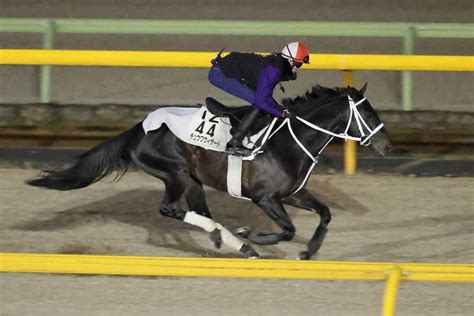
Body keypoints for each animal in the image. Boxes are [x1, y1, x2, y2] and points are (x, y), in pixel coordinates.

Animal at [25, 83, 390, 260]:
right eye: (369, 114)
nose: (388, 147)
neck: (288, 140)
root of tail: (138, 130)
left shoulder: (293, 193)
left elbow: (325, 213)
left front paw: (308, 251)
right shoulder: (265, 197)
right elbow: (286, 230)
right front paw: (253, 234)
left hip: (193, 180)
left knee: (201, 213)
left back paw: (231, 242)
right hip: (175, 173)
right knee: (170, 209)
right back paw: (240, 242)